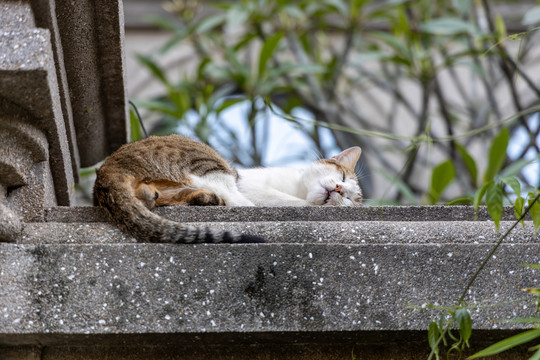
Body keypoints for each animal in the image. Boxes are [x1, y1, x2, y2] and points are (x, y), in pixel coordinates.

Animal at [94, 135, 362, 245]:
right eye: (342, 176)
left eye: (350, 199)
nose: (340, 189)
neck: (297, 191)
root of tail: (108, 167)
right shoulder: (254, 185)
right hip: (209, 162)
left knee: (152, 198)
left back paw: (203, 198)